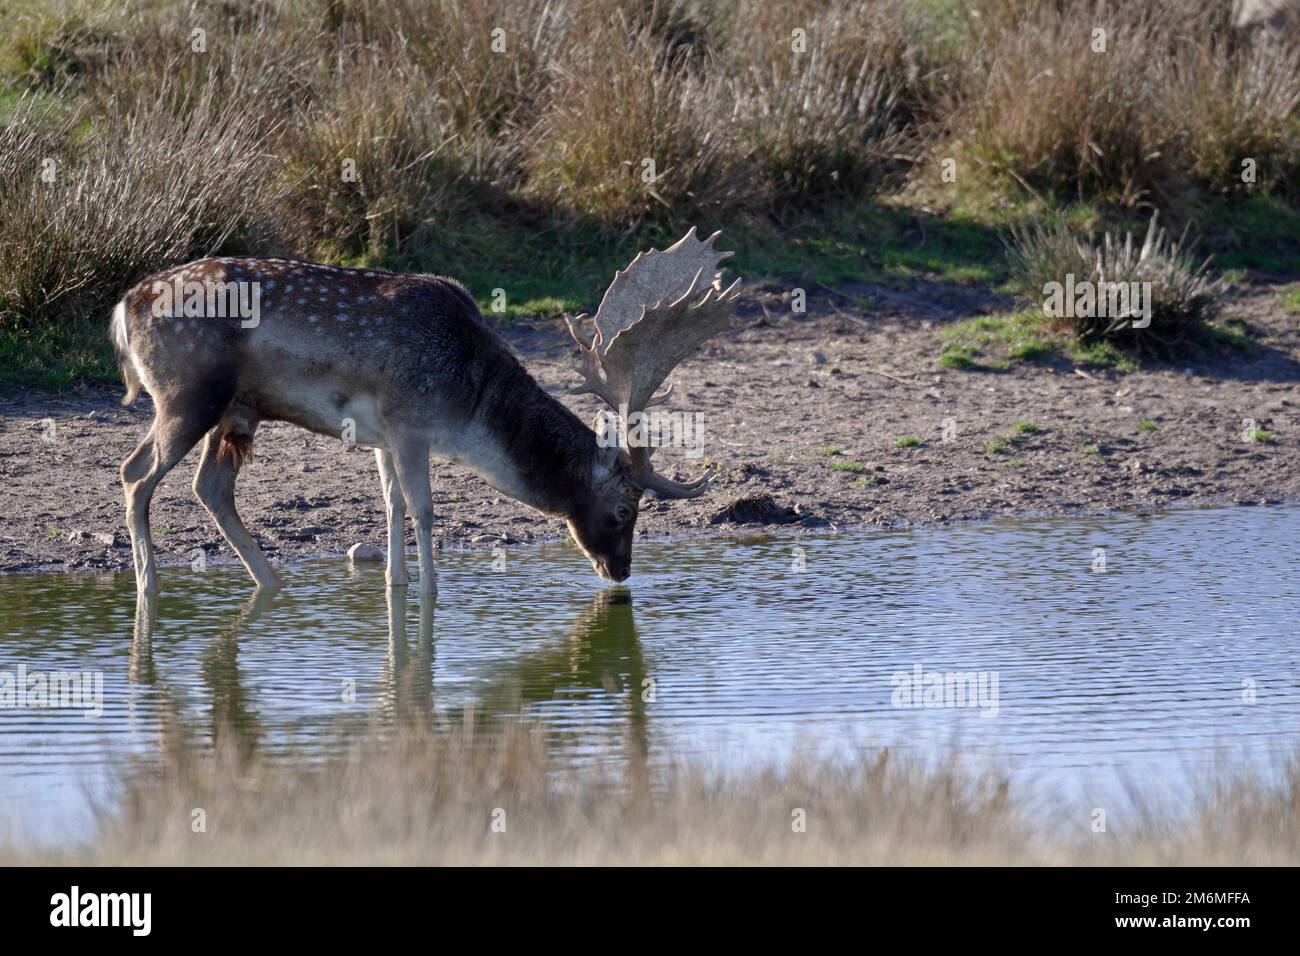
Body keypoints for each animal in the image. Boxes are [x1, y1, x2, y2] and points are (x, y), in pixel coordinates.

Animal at [111, 227, 743, 595]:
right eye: (624, 509)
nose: (621, 571)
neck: (470, 405)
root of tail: (124, 307)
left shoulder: (382, 436)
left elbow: (391, 505)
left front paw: (397, 586)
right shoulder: (410, 422)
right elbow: (423, 508)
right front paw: (432, 593)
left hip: (237, 410)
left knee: (210, 486)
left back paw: (269, 584)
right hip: (187, 394)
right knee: (134, 472)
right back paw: (148, 587)